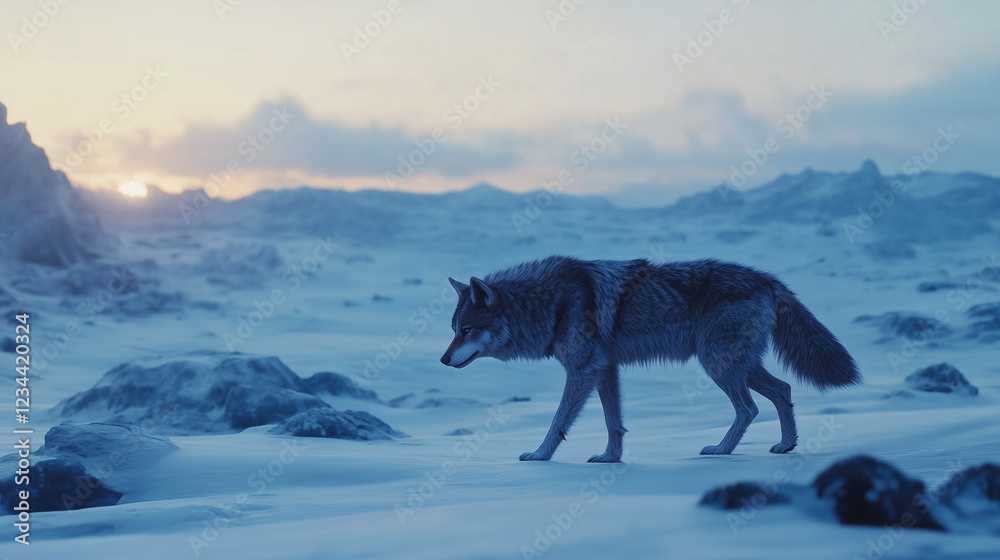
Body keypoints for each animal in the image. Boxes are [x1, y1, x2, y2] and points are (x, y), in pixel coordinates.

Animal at [440, 256, 860, 461]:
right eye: (454, 328)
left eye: (467, 330)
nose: (443, 360)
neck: (549, 304)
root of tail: (768, 279)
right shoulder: (605, 370)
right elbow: (614, 423)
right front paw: (611, 458)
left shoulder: (583, 371)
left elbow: (558, 421)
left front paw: (541, 455)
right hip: (737, 365)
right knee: (783, 390)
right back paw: (786, 446)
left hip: (718, 365)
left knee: (749, 408)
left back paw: (721, 451)